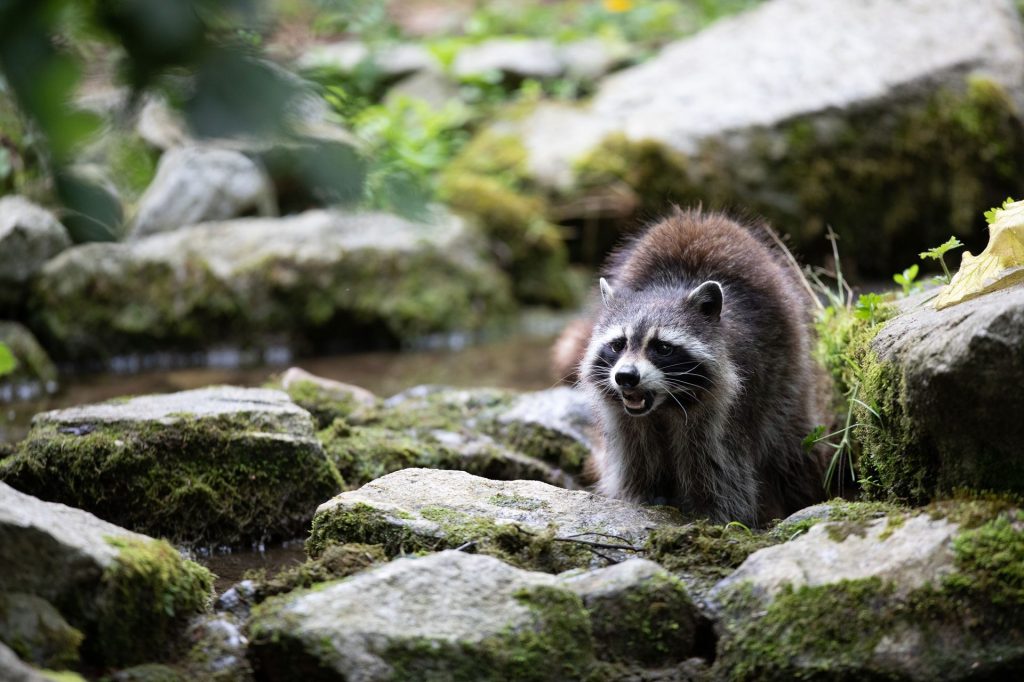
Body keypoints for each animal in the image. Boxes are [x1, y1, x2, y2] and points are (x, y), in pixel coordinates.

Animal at [569, 208, 831, 524]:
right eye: (618, 344)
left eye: (662, 348)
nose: (626, 377)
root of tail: (701, 216)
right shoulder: (625, 421)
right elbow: (635, 464)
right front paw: (641, 499)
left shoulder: (725, 412)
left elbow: (721, 474)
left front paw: (714, 517)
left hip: (787, 377)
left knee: (791, 448)